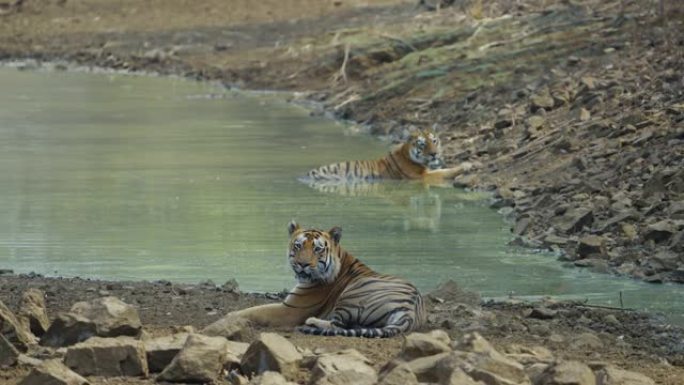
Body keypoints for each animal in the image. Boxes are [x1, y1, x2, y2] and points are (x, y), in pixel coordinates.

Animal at [227, 220, 424, 338]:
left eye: (317, 249)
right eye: (298, 246)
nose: (302, 264)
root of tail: (410, 312)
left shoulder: (290, 310)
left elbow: (254, 310)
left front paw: (231, 315)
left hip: (352, 294)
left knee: (337, 324)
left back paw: (312, 322)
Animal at [302, 127, 468, 184]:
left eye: (434, 141)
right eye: (422, 144)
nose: (434, 154)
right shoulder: (422, 177)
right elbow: (443, 172)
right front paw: (465, 166)